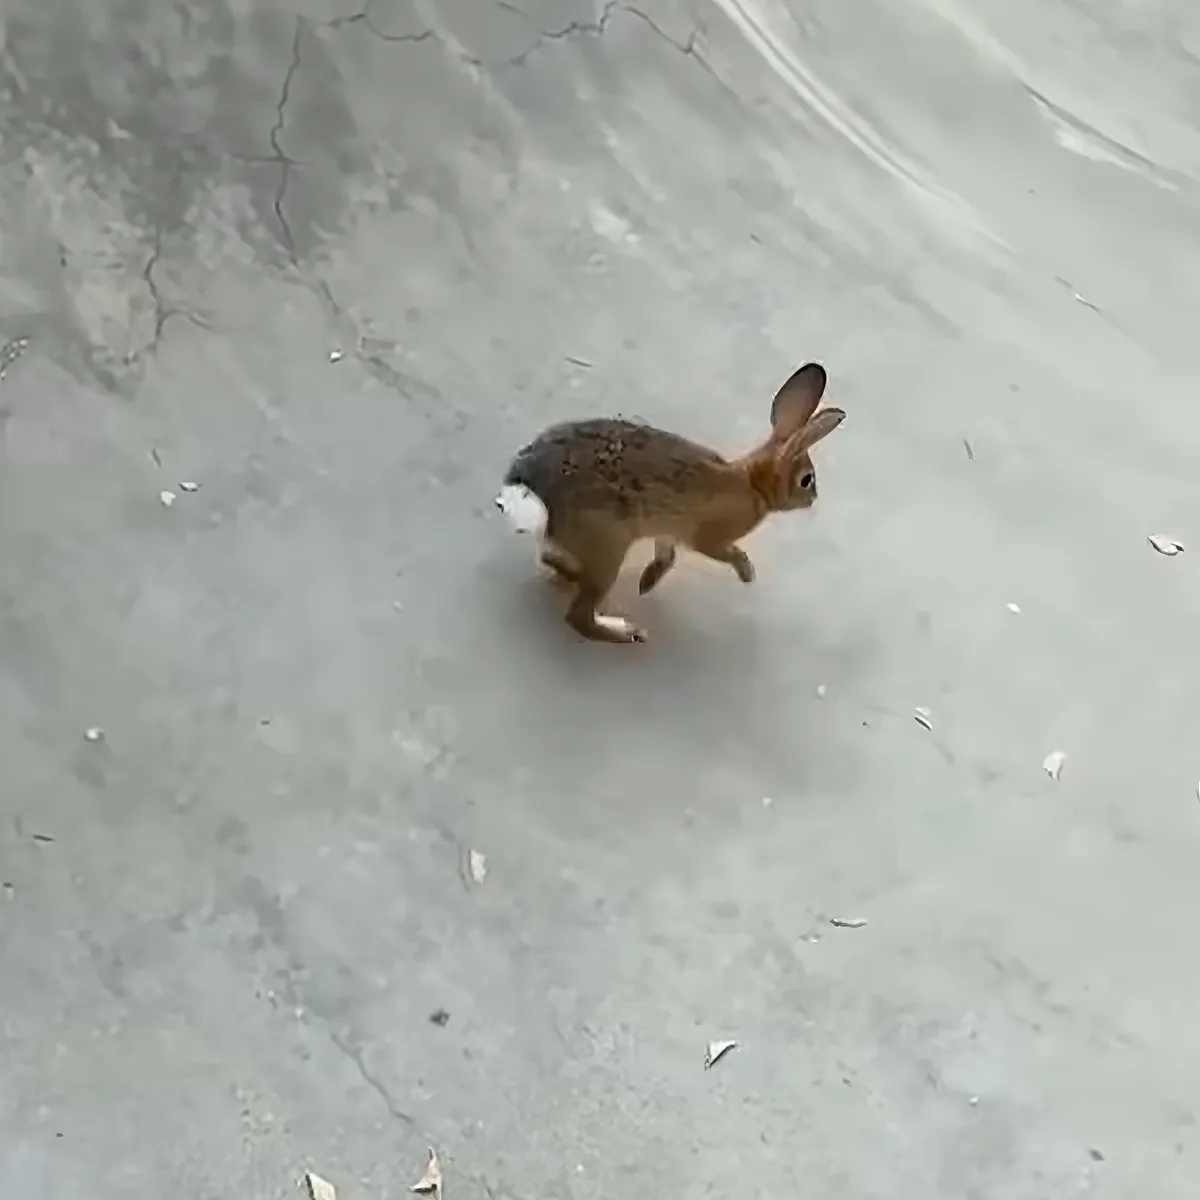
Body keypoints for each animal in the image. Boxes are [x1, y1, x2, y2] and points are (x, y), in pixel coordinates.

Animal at [494, 361, 845, 644]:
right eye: (806, 480)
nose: (813, 498)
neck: (753, 485)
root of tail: (533, 495)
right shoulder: (708, 538)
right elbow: (726, 552)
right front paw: (748, 573)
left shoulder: (667, 529)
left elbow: (666, 555)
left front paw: (647, 583)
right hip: (608, 548)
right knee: (578, 617)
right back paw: (627, 633)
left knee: (553, 563)